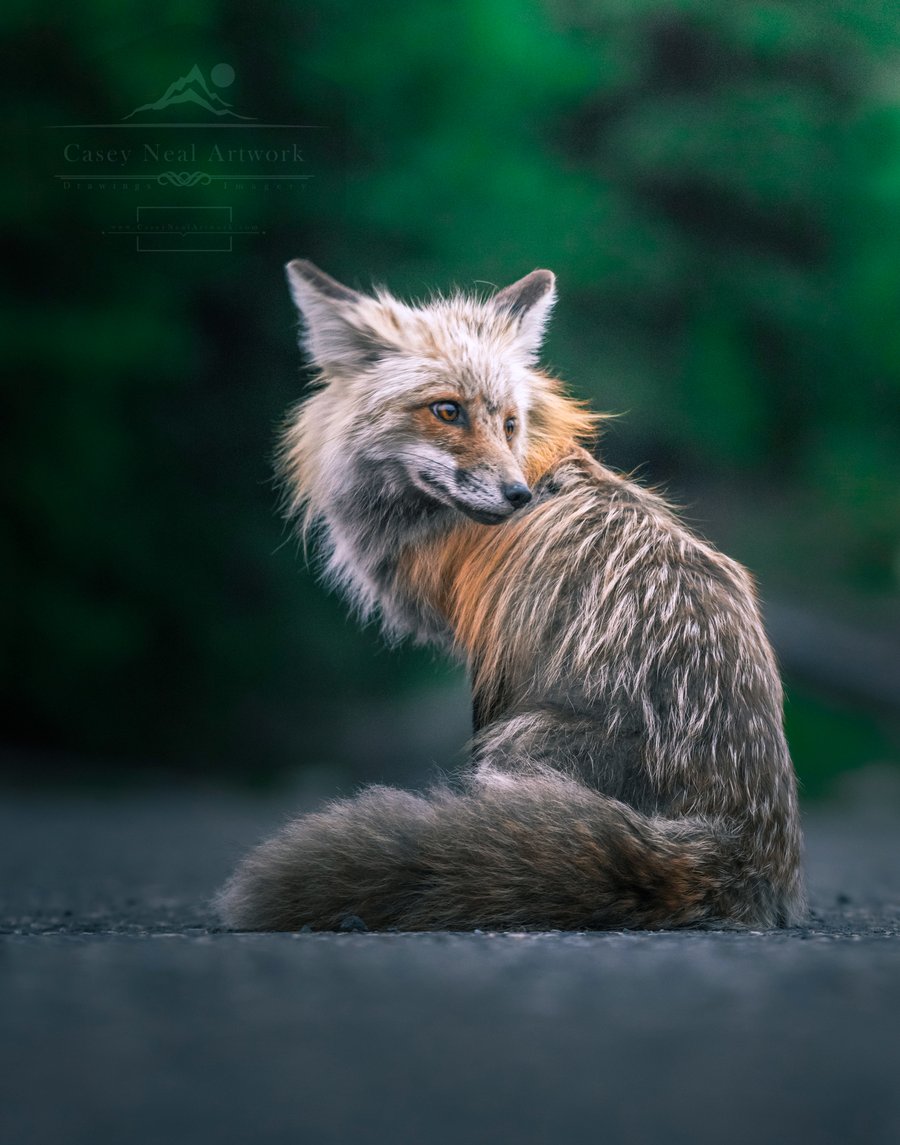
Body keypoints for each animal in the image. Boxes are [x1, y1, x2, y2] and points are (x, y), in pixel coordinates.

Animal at [217, 263, 806, 934]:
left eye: (508, 423)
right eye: (446, 410)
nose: (519, 495)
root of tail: (748, 850)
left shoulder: (491, 660)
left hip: (521, 737)